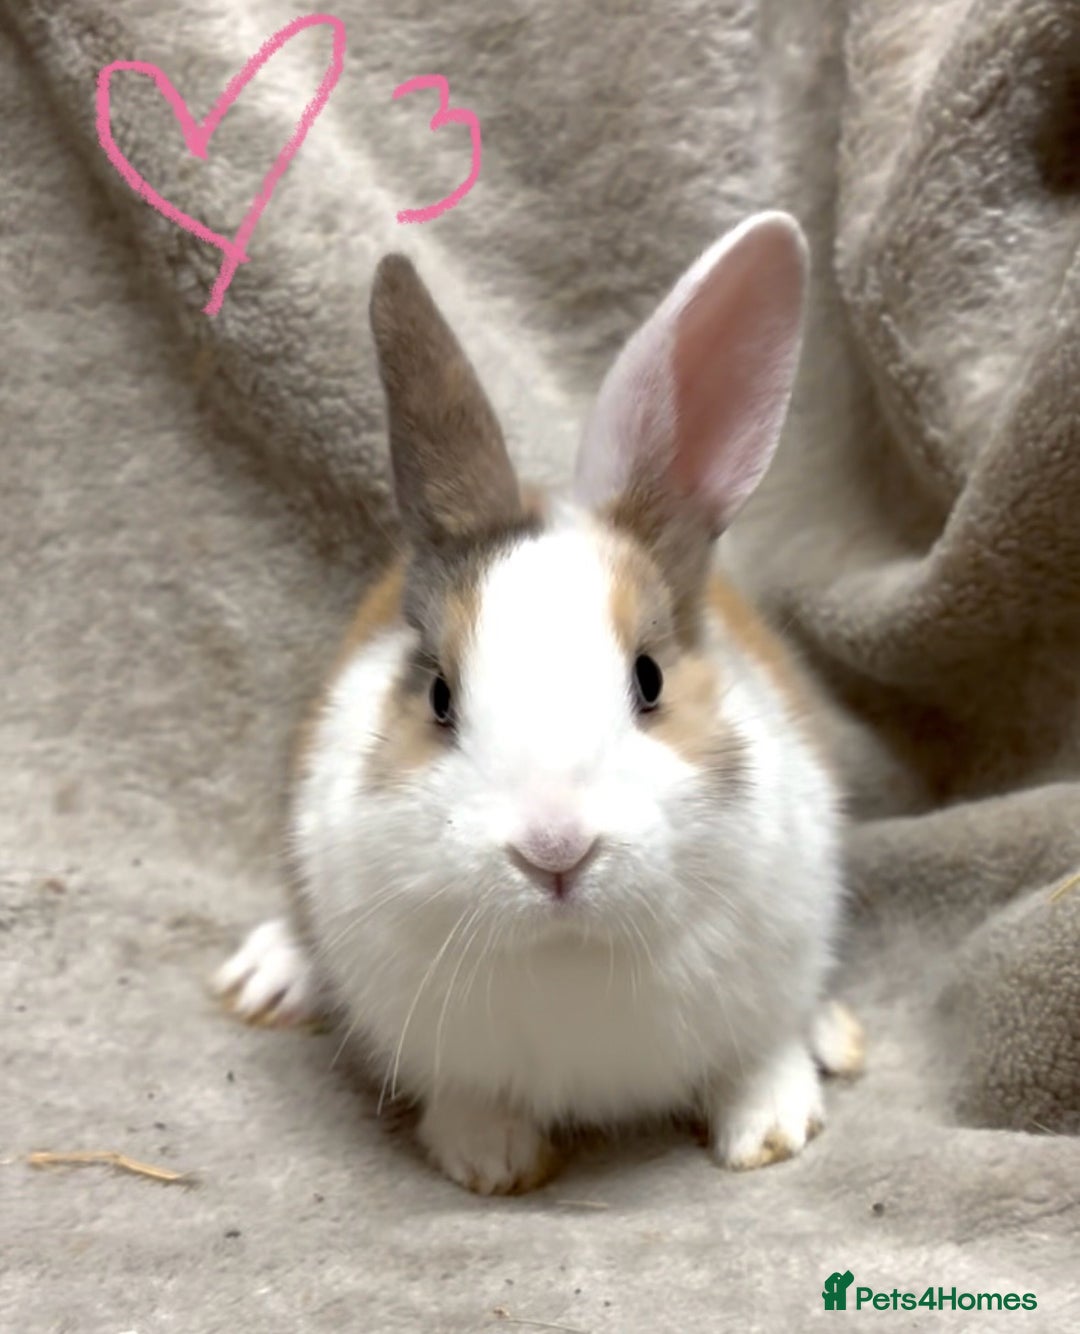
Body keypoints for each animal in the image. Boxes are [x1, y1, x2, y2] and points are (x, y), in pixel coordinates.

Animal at [214, 211, 864, 1195]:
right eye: (439, 696)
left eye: (650, 679)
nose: (554, 851)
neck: (571, 951)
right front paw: (488, 1158)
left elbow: (760, 1050)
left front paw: (774, 1127)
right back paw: (269, 976)